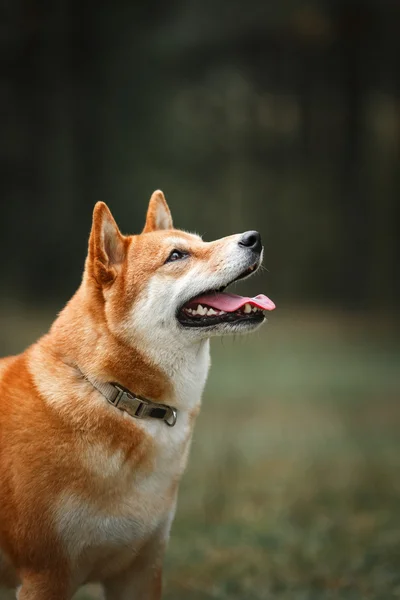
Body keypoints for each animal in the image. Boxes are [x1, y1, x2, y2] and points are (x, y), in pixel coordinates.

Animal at [0, 193, 276, 600]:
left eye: (200, 242)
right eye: (176, 255)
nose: (254, 237)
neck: (117, 394)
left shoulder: (140, 570)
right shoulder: (46, 575)